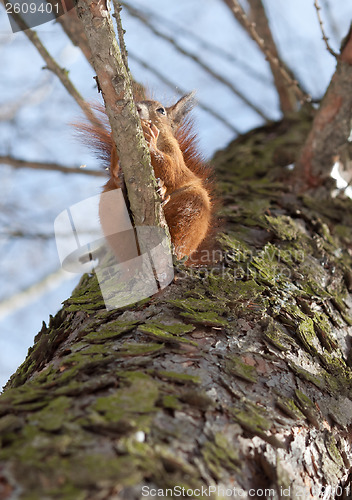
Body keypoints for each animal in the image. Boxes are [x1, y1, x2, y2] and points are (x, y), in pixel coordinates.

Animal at [87, 94, 214, 266]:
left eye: (161, 110)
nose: (137, 108)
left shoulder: (175, 152)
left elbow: (171, 171)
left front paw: (151, 140)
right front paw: (118, 170)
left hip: (194, 207)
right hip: (109, 208)